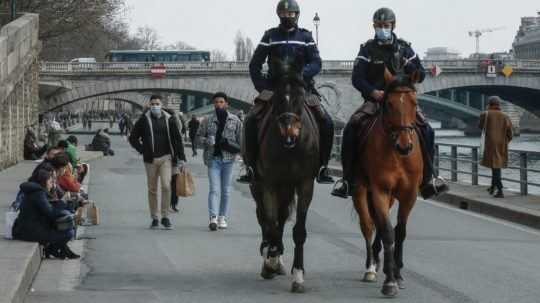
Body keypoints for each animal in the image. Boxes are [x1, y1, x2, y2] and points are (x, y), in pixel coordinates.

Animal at [250, 55, 320, 294]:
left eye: (301, 95)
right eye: (278, 97)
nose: (290, 135)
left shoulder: (305, 183)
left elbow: (298, 230)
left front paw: (298, 275)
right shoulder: (269, 183)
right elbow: (270, 223)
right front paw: (270, 260)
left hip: (288, 187)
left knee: (280, 217)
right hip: (260, 185)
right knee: (265, 218)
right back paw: (270, 254)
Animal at [352, 68, 424, 296]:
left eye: (414, 102)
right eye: (389, 103)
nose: (404, 146)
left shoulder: (409, 194)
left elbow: (399, 232)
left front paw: (397, 274)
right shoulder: (380, 191)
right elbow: (387, 232)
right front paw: (390, 282)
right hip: (360, 189)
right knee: (368, 225)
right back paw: (370, 267)